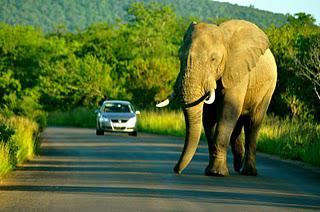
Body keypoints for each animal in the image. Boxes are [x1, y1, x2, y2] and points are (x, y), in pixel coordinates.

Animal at [156, 19, 276, 176]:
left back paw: (248, 172)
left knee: (252, 124)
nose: (176, 170)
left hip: (268, 88)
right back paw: (238, 164)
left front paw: (217, 173)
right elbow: (209, 117)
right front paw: (211, 170)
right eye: (179, 57)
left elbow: (227, 113)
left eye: (213, 59)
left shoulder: (236, 71)